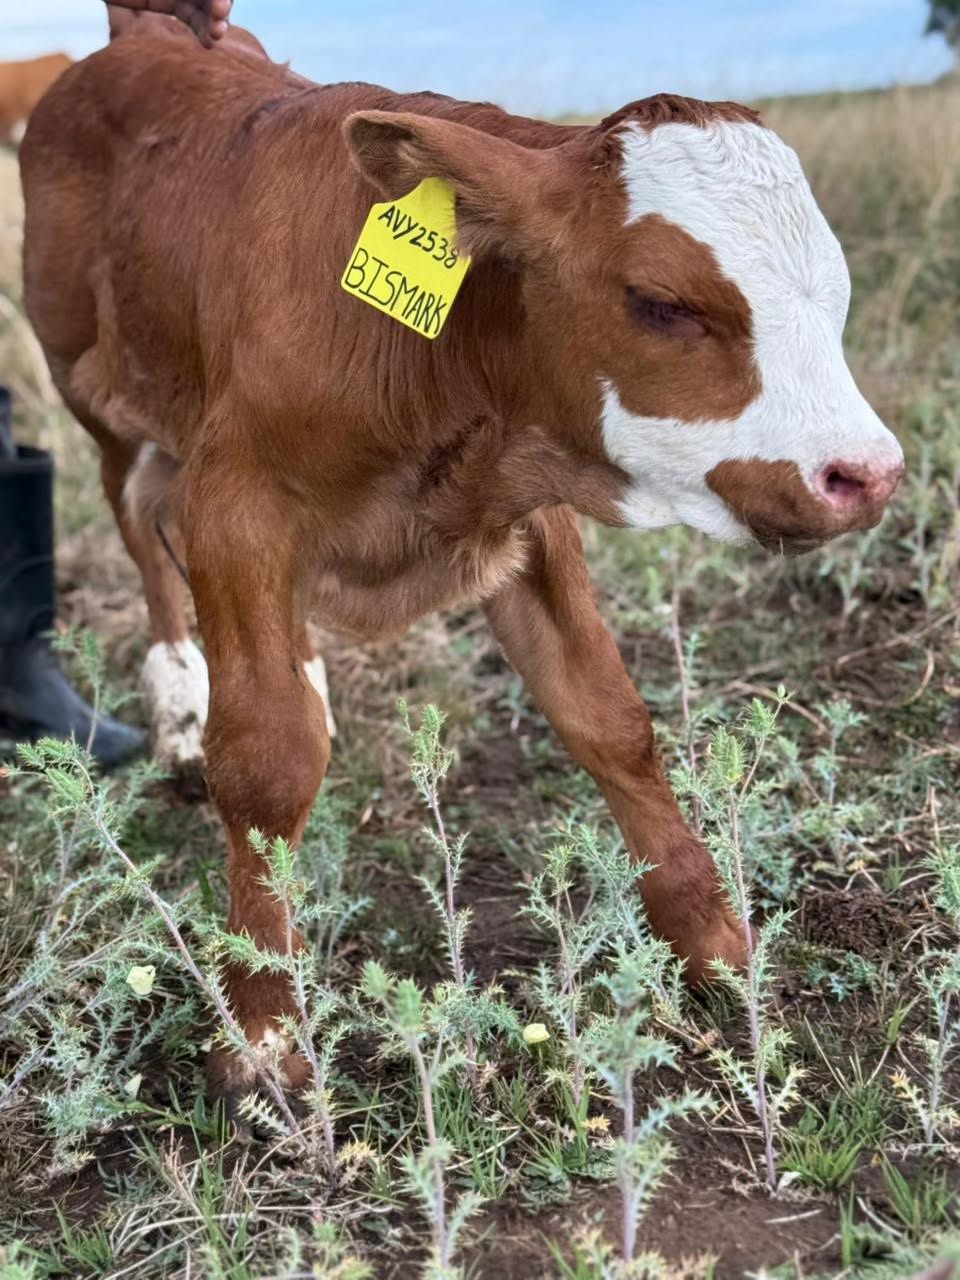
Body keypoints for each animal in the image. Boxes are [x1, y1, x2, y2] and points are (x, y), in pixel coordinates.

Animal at [20, 12, 904, 1101]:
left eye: (836, 295)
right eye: (661, 301)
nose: (868, 472)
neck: (428, 363)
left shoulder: (529, 512)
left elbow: (607, 715)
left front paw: (715, 943)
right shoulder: (237, 498)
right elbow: (264, 759)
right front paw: (261, 1023)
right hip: (99, 397)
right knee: (142, 526)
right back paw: (185, 700)